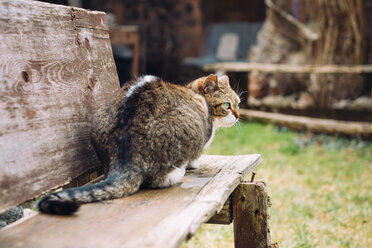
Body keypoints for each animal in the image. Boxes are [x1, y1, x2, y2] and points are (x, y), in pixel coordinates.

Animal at [37, 73, 240, 215]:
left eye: (238, 103)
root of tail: (126, 160)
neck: (193, 93)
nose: (238, 115)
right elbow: (195, 158)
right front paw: (194, 164)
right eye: (227, 105)